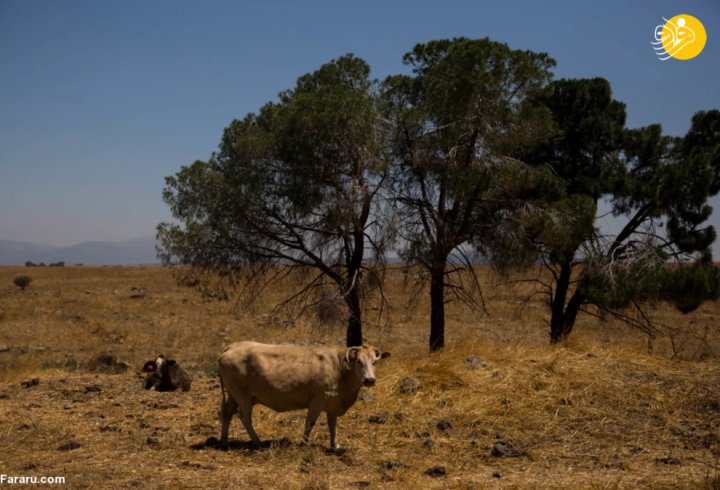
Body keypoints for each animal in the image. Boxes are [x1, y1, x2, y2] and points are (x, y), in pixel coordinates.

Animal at [218, 342, 390, 450]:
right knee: (244, 417)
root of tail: (231, 347)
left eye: (374, 362)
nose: (369, 380)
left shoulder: (332, 404)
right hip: (243, 396)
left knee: (227, 414)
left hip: (232, 395)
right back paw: (257, 441)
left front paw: (334, 444)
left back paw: (224, 441)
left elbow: (332, 425)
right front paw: (304, 444)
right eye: (359, 361)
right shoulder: (318, 401)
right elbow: (310, 423)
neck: (340, 369)